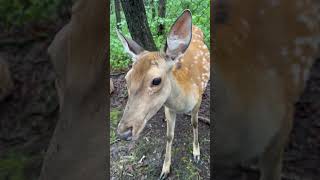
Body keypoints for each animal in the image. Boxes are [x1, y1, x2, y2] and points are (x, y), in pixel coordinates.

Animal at [115, 10, 210, 180]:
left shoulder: (197, 100)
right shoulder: (168, 107)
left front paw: (196, 153)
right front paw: (165, 169)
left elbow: (195, 123)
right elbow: (169, 135)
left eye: (156, 80)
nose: (123, 132)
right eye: (127, 78)